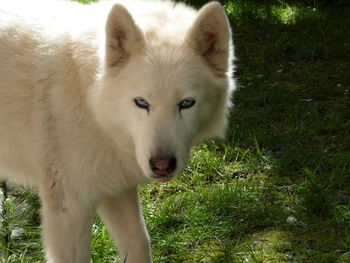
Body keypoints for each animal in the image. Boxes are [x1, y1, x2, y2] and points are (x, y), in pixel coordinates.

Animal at [0, 0, 235, 262]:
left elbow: (140, 244)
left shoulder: (118, 191)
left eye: (186, 103)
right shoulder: (70, 211)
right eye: (141, 102)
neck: (91, 103)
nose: (162, 166)